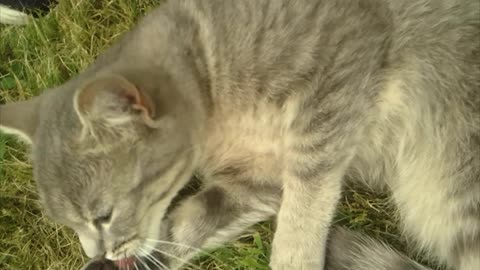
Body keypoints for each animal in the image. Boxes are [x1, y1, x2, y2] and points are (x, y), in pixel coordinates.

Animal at [0, 0, 480, 270]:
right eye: (70, 225)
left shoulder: (337, 73)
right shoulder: (255, 179)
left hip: (455, 180)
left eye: (103, 215)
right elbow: (190, 222)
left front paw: (294, 258)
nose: (99, 256)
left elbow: (307, 198)